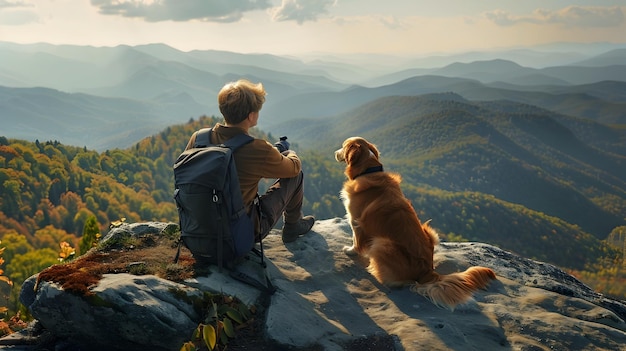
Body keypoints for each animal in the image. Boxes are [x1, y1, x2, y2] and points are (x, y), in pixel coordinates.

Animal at [334, 136, 494, 310]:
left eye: (343, 146)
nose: (335, 152)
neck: (368, 171)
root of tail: (428, 272)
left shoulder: (355, 220)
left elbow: (356, 241)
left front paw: (350, 251)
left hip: (382, 244)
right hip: (429, 230)